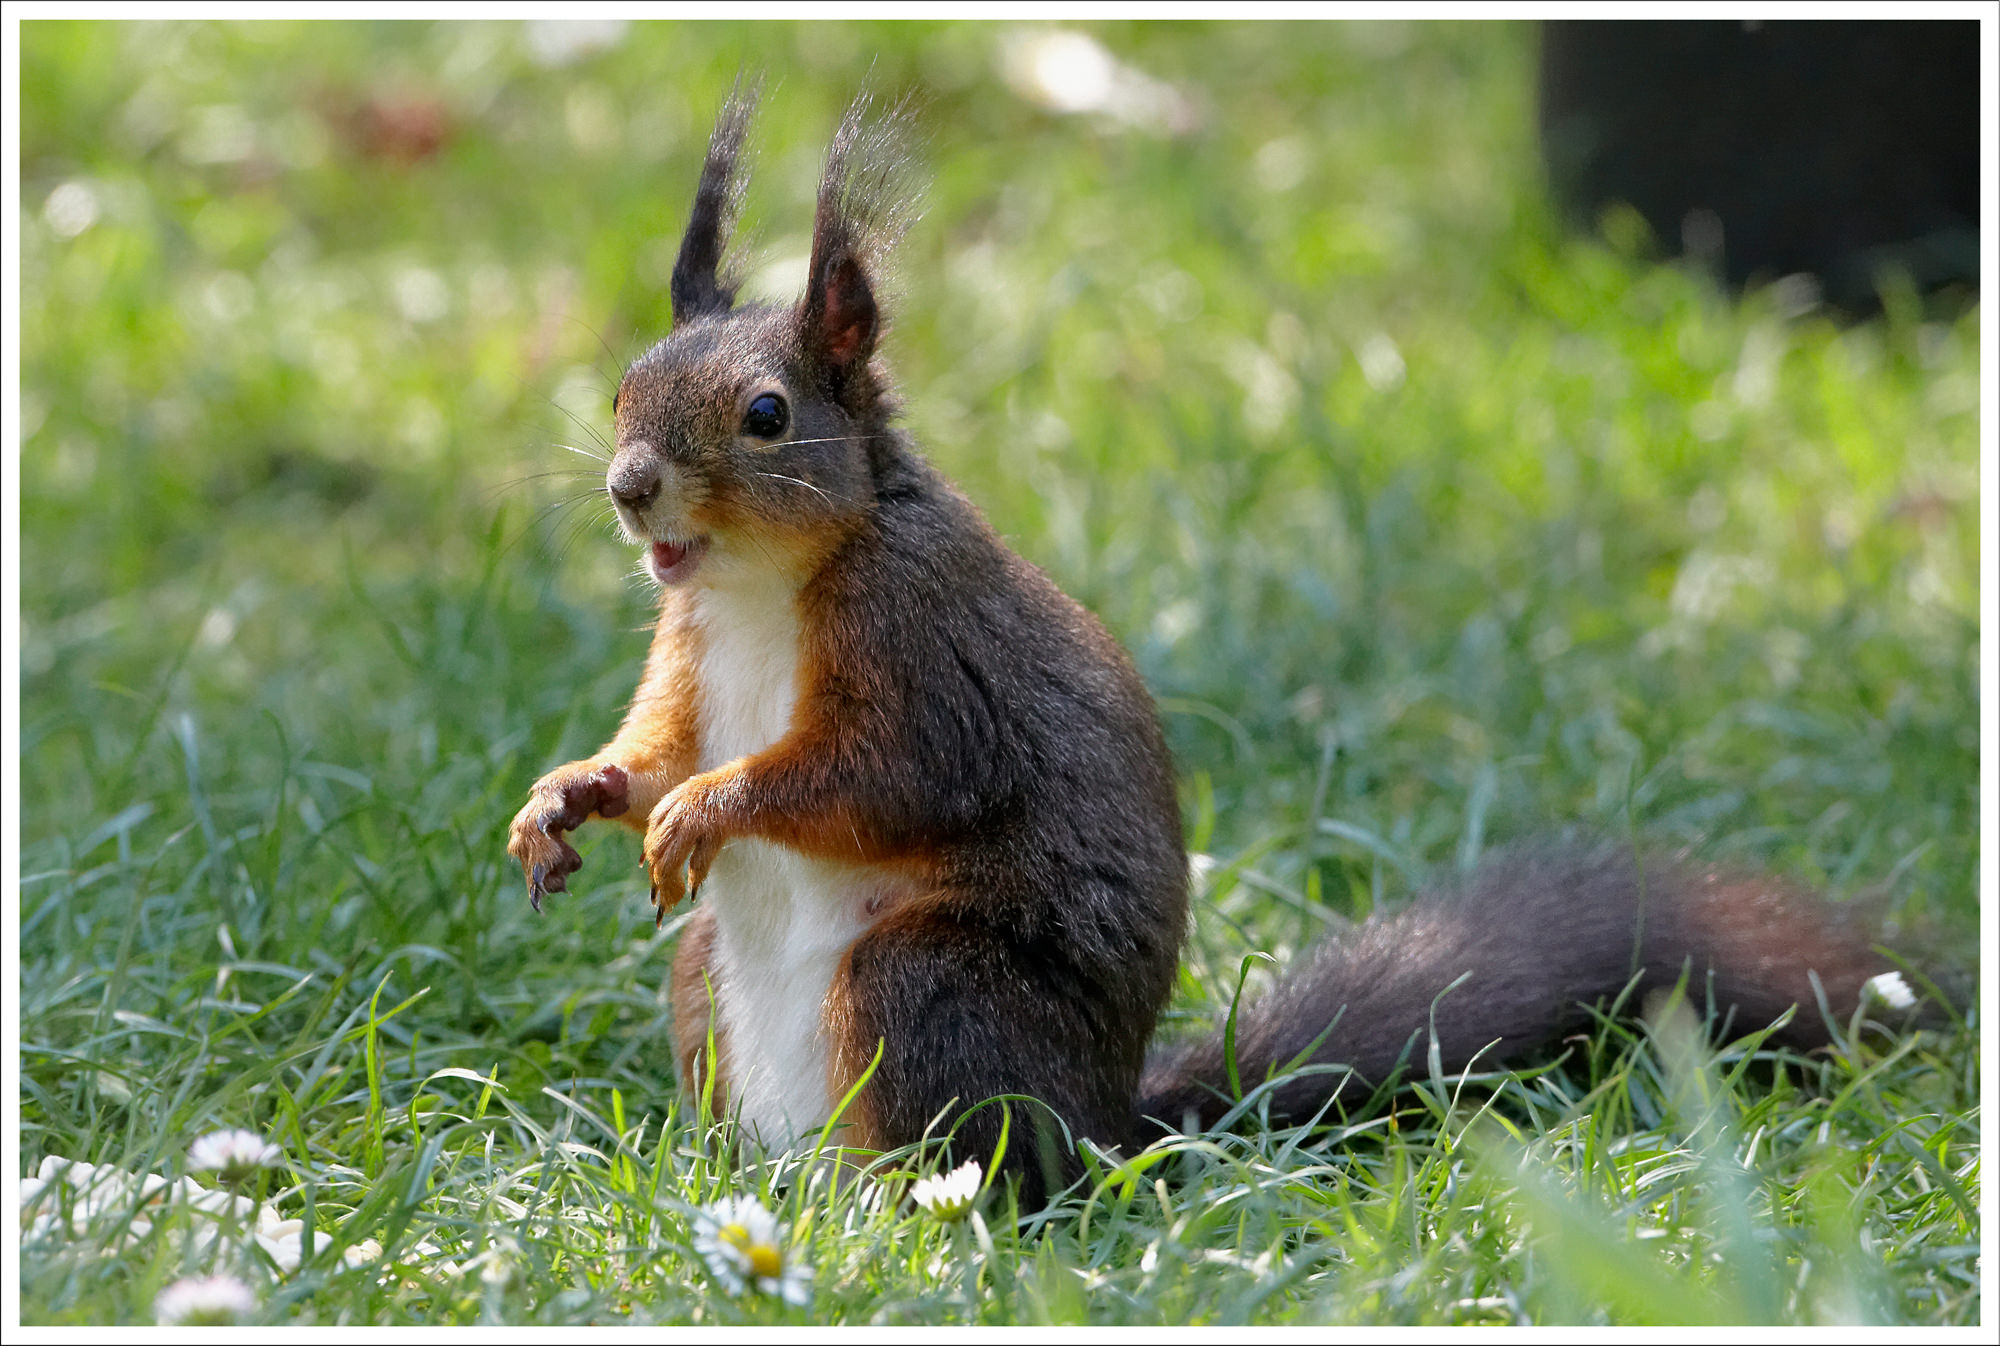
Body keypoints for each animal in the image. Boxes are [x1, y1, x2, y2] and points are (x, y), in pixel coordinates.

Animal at [507, 88, 1912, 1204]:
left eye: (766, 415)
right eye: (623, 383)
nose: (630, 486)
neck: (756, 586)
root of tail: (1109, 1122)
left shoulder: (924, 647)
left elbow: (890, 776)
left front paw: (705, 808)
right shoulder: (687, 641)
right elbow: (656, 743)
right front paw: (568, 796)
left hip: (927, 989)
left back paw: (892, 1218)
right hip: (711, 986)